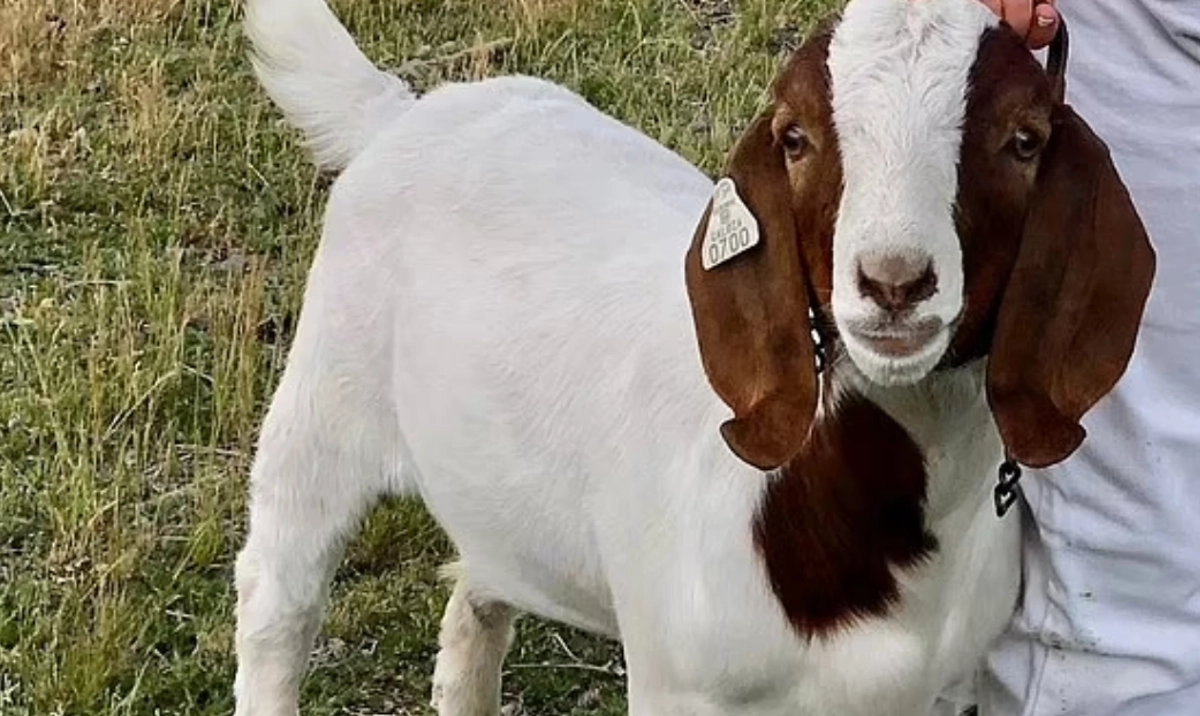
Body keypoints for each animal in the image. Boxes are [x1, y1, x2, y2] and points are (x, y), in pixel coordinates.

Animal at [231, 0, 1152, 710]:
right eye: (794, 138)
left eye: (1024, 140)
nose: (894, 283)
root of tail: (400, 112)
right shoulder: (684, 686)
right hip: (324, 402)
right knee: (279, 596)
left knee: (477, 592)